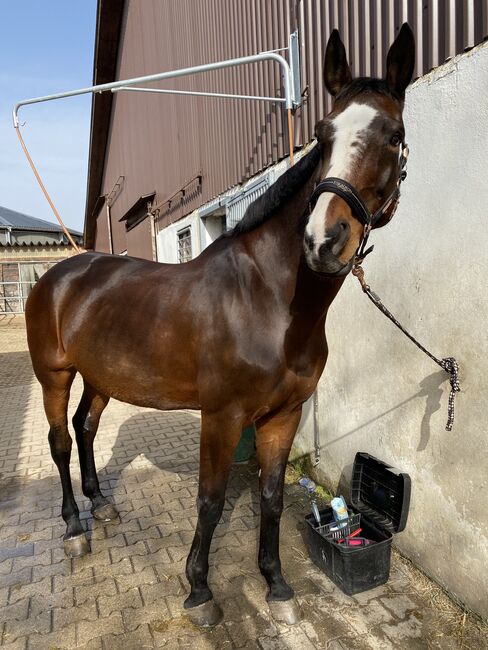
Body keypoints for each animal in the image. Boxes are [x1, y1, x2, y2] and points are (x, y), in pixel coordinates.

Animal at [25, 24, 416, 624]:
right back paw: (73, 528)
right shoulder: (223, 414)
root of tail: (59, 274)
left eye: (394, 135)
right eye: (322, 134)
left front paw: (276, 585)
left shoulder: (284, 414)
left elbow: (272, 497)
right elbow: (209, 502)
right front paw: (199, 591)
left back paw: (102, 505)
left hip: (102, 377)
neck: (272, 301)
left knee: (85, 428)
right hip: (54, 375)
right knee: (60, 442)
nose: (324, 240)